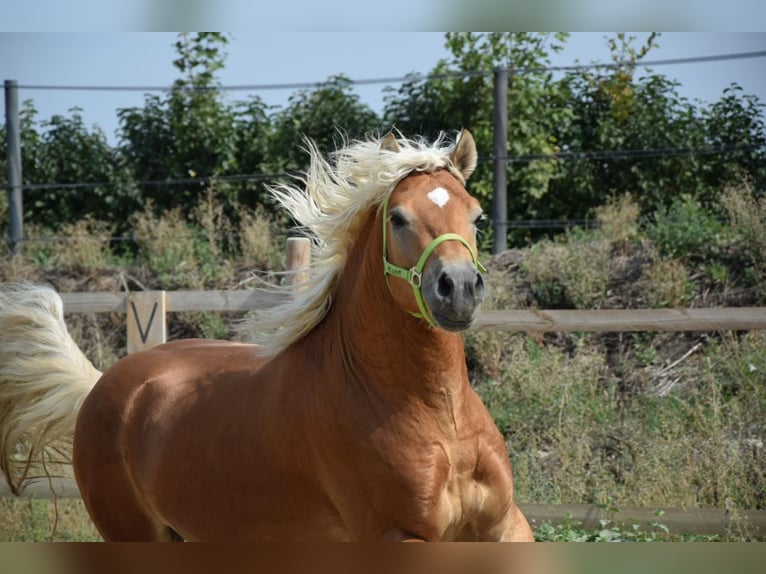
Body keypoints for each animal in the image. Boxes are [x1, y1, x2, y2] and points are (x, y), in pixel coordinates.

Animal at [0, 130, 536, 544]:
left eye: (477, 215)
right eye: (398, 217)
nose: (459, 288)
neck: (438, 419)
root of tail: (101, 385)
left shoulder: (504, 528)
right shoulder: (398, 536)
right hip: (135, 535)